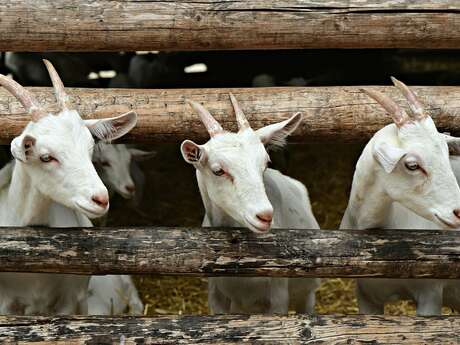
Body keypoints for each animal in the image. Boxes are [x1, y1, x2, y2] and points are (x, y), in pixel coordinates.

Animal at [181, 94, 320, 314]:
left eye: (266, 163)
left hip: (307, 293)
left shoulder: (278, 297)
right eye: (218, 170)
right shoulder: (216, 296)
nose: (265, 215)